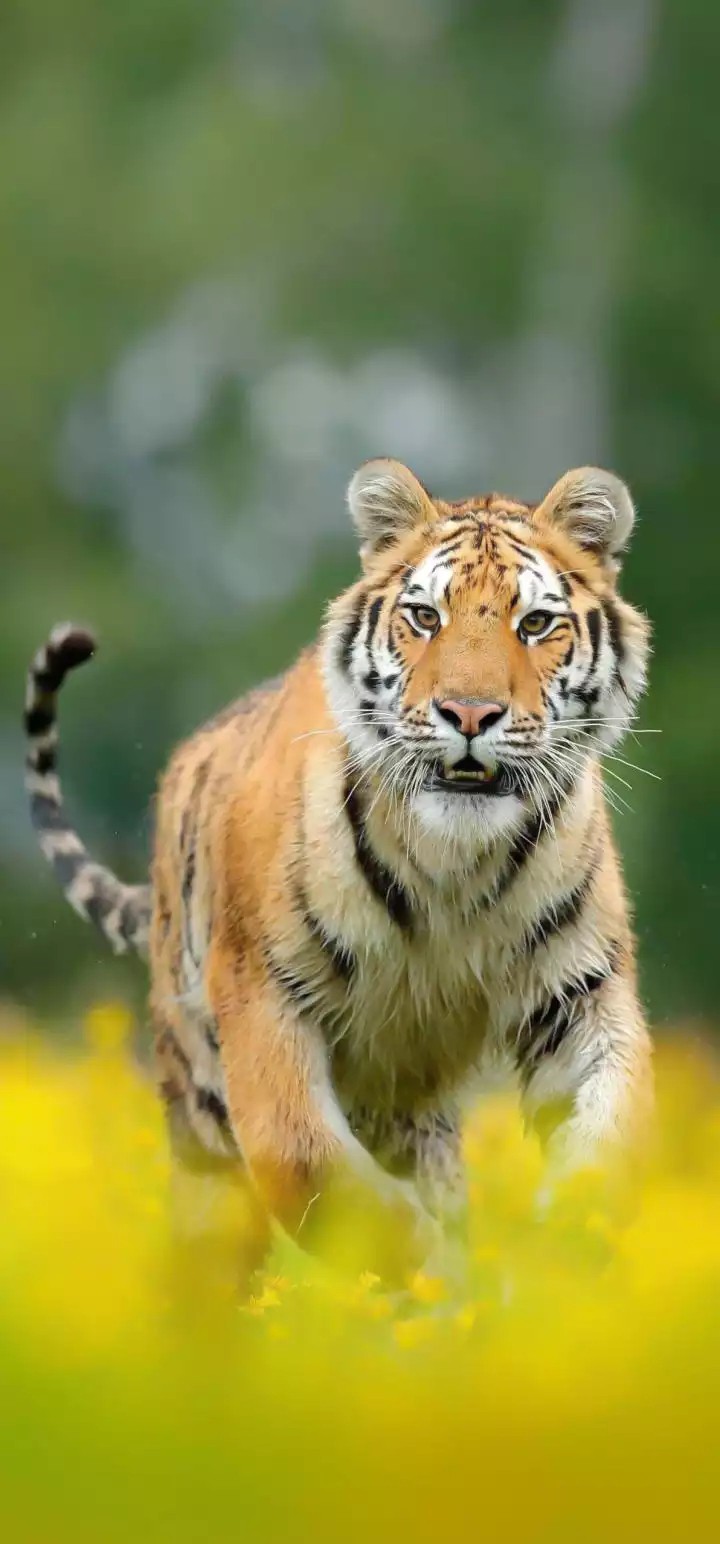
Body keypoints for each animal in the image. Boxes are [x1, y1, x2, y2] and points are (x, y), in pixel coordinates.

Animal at [24, 459, 653, 1281]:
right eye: (424, 617)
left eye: (536, 624)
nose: (468, 714)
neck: (455, 861)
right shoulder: (261, 992)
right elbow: (307, 1161)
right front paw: (426, 1263)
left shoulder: (579, 992)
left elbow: (615, 1127)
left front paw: (561, 1251)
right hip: (204, 1129)